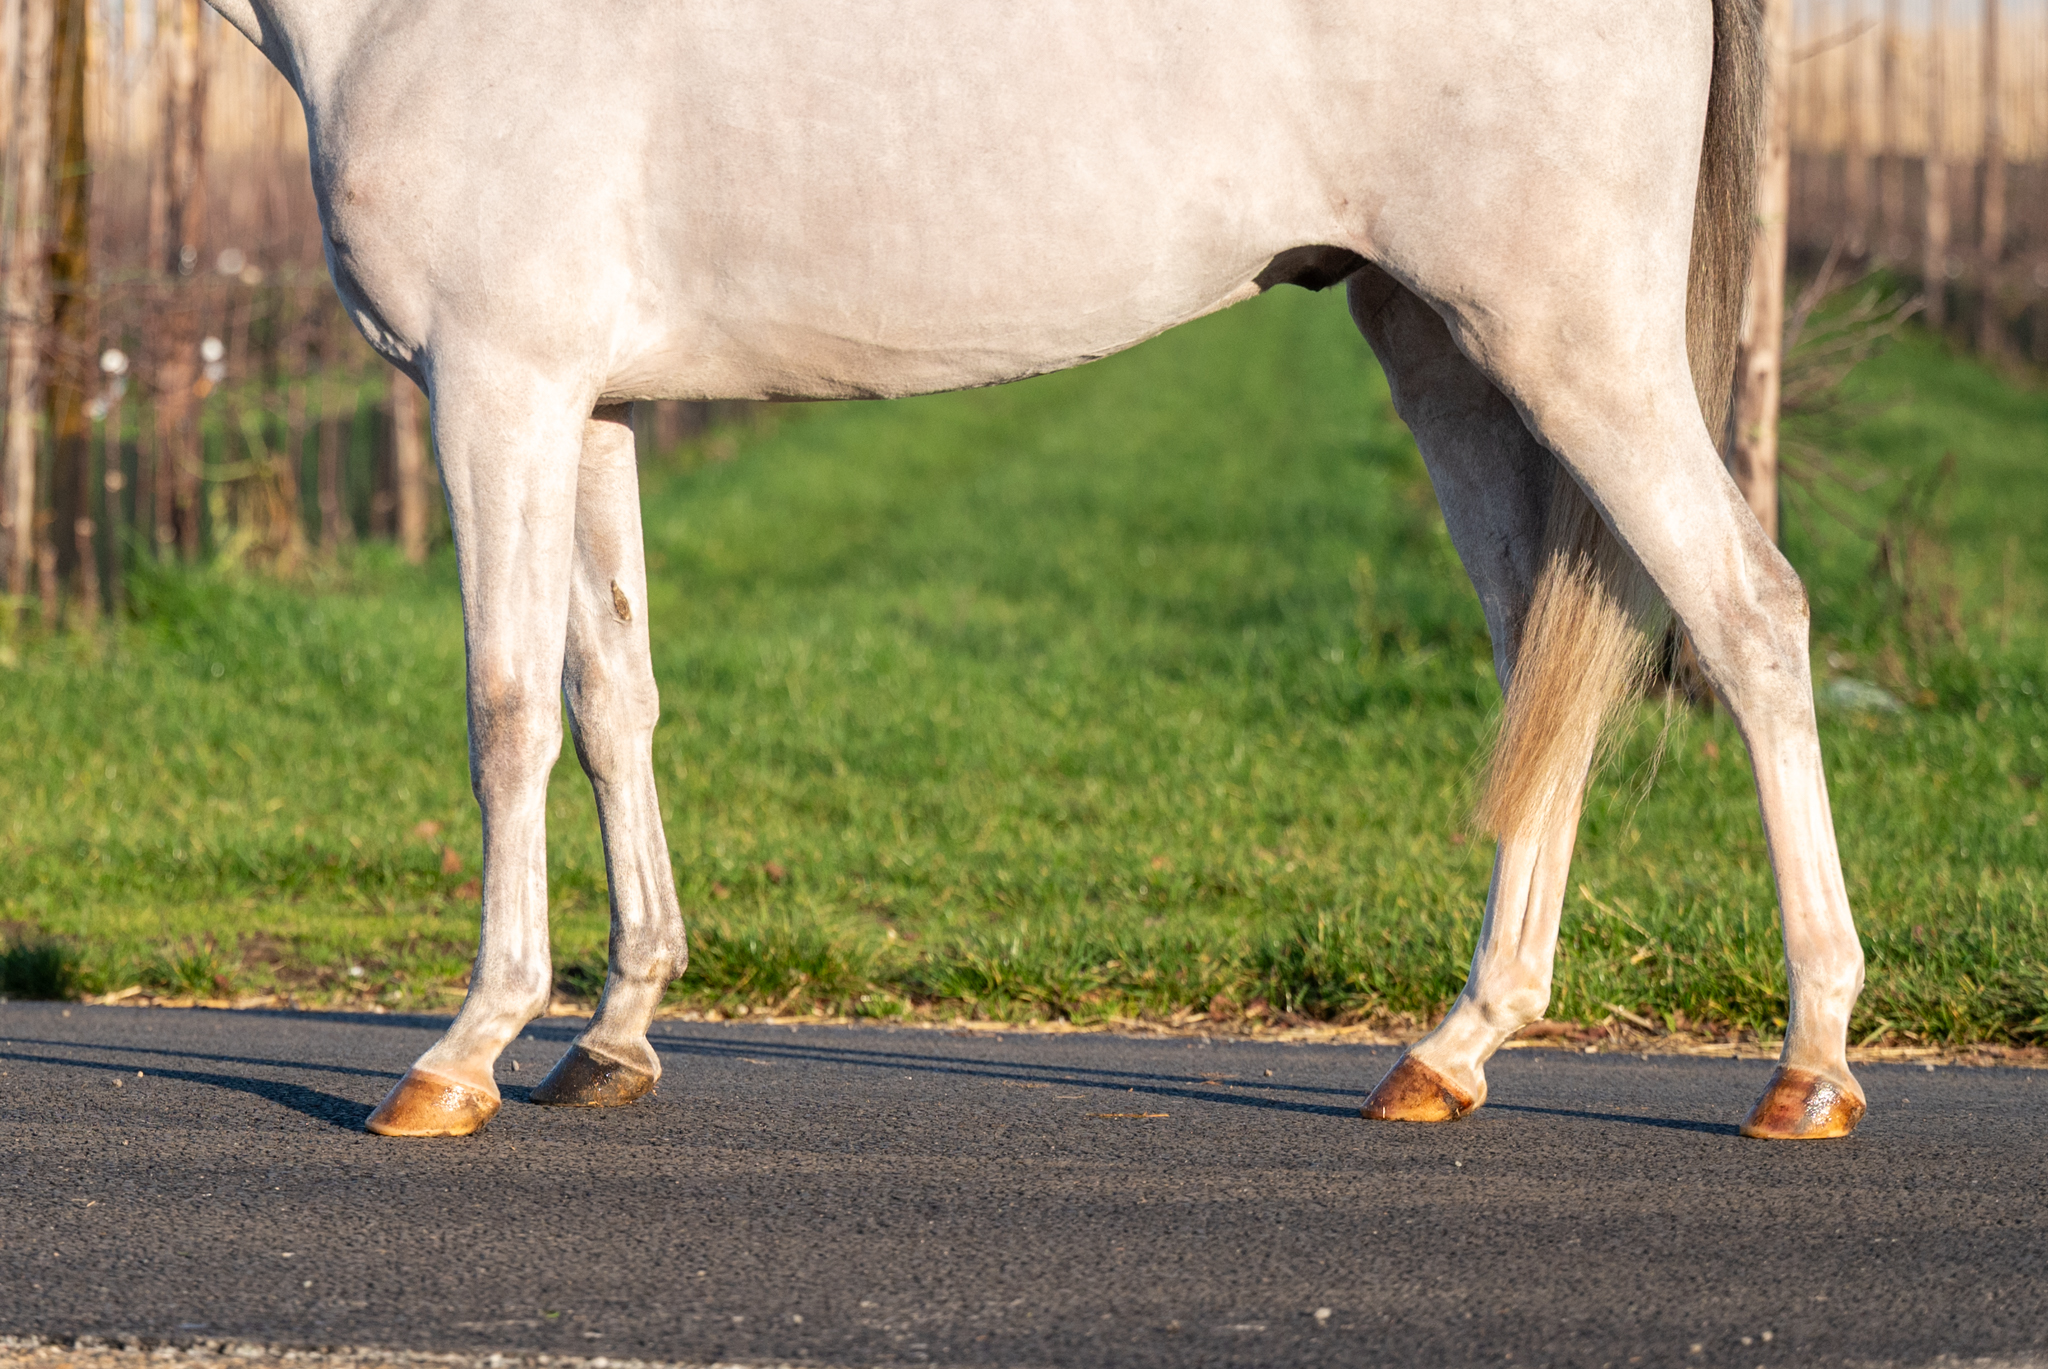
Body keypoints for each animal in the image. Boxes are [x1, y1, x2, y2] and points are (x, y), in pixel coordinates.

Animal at [206, 0, 1868, 1141]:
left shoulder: (496, 385)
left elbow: (503, 715)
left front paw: (462, 1052)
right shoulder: (588, 405)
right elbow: (611, 700)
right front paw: (613, 1032)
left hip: (1571, 339)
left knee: (1748, 612)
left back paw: (1809, 1066)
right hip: (1437, 339)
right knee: (1544, 657)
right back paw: (1456, 1046)